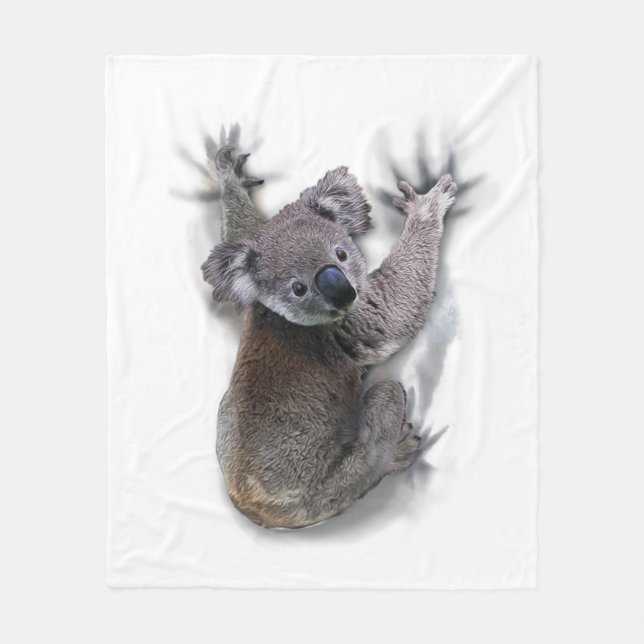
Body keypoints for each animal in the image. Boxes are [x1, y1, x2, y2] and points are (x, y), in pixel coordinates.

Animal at [201, 135, 457, 529]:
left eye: (341, 254)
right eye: (298, 288)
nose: (343, 291)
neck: (279, 317)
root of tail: (253, 509)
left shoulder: (249, 280)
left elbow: (243, 225)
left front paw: (228, 170)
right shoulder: (352, 326)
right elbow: (397, 307)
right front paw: (427, 206)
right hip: (331, 484)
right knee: (378, 420)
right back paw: (396, 450)